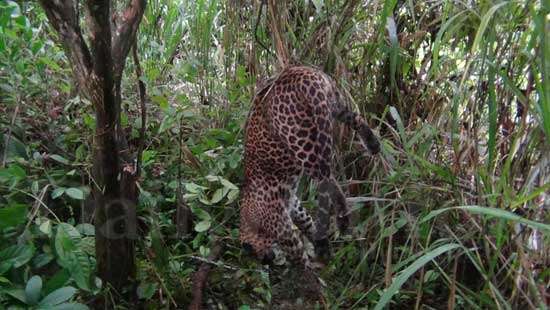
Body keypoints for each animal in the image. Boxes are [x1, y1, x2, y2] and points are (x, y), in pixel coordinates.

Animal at [239, 65, 382, 268]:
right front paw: (318, 242)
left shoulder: (279, 223)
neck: (249, 220)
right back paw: (372, 144)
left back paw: (337, 224)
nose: (268, 260)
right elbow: (306, 221)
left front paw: (304, 266)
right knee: (355, 118)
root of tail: (301, 73)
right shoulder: (293, 205)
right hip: (333, 102)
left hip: (301, 141)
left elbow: (295, 249)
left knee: (324, 177)